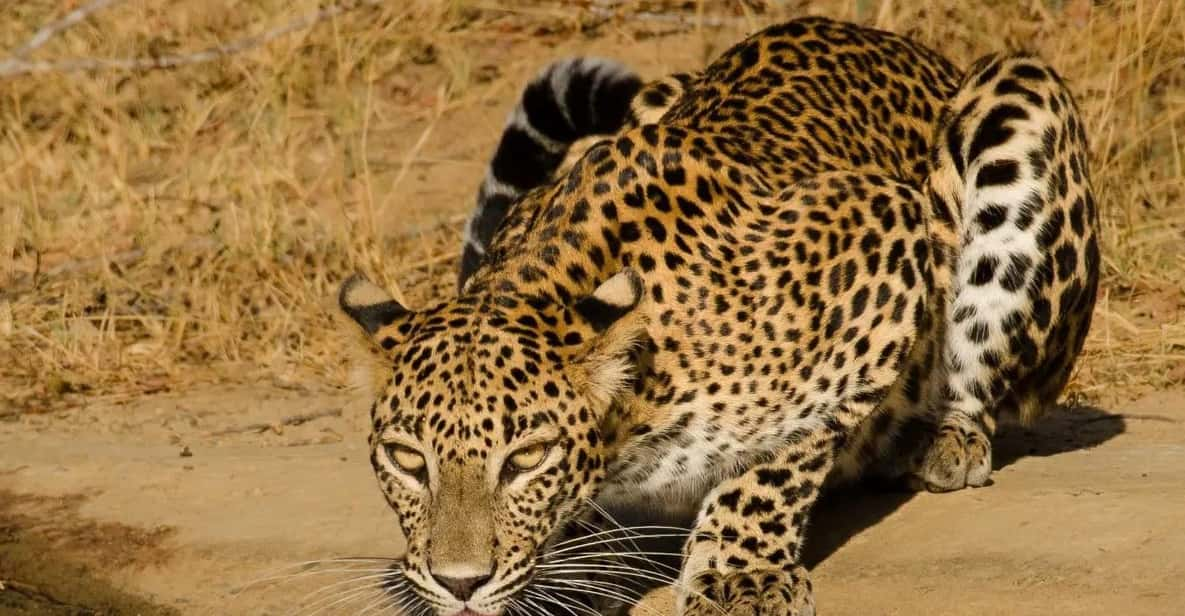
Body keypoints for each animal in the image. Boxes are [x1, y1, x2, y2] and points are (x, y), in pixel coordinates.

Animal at [338, 14, 1094, 616]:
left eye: (526, 459)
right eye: (407, 460)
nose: (458, 582)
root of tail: (911, 48)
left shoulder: (883, 237)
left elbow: (778, 456)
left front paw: (740, 575)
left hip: (1019, 99)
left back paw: (942, 442)